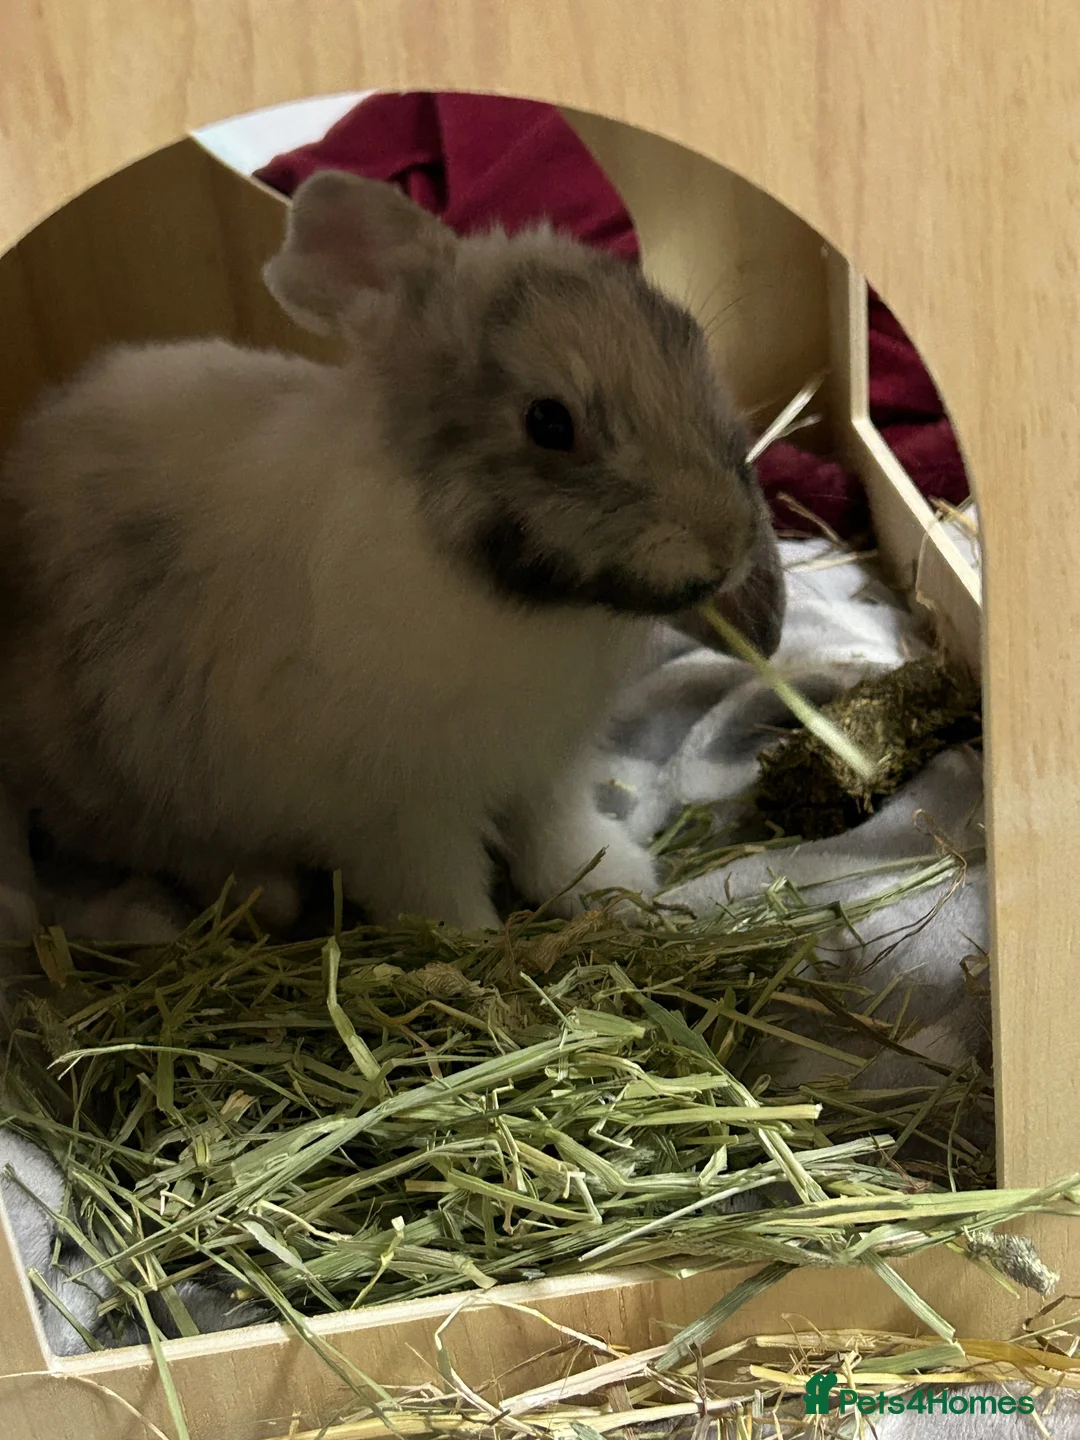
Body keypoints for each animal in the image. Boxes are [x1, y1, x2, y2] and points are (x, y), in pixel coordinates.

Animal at [0, 170, 784, 935]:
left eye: (691, 347)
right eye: (549, 422)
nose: (726, 545)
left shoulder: (544, 768)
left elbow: (557, 837)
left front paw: (612, 887)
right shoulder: (401, 814)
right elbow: (437, 891)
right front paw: (473, 946)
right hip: (119, 769)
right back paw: (264, 895)